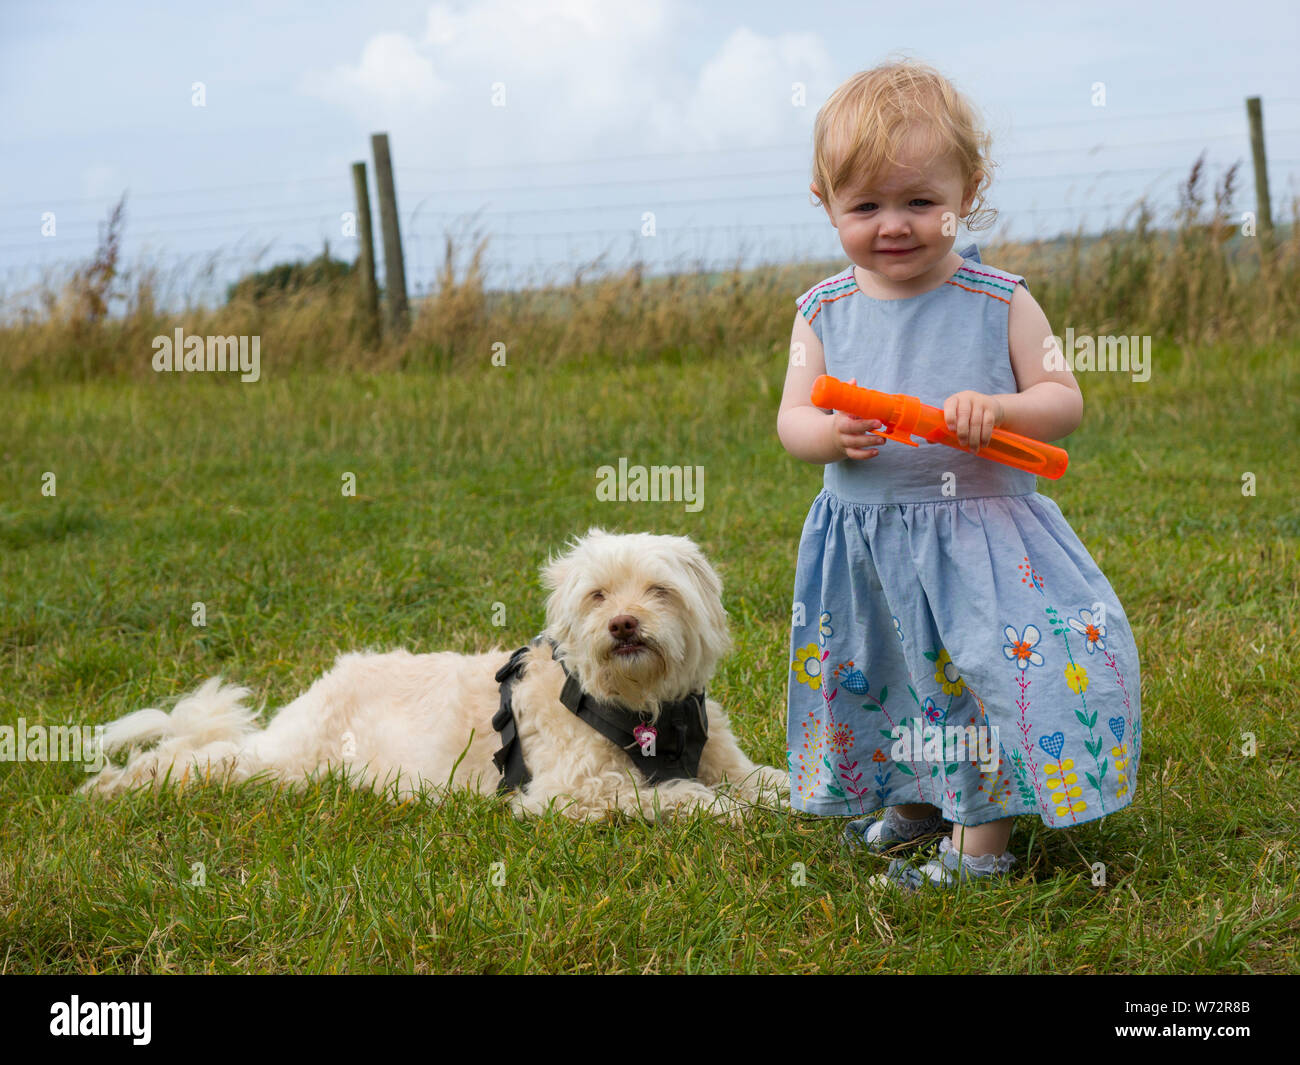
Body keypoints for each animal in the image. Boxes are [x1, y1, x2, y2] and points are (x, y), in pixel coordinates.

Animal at [86, 527, 790, 821]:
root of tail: (328, 681)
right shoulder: (578, 793)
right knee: (191, 760)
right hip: (285, 765)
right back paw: (115, 786)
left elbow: (771, 783)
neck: (644, 710)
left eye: (659, 591)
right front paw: (737, 815)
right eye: (597, 596)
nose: (622, 625)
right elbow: (686, 798)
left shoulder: (729, 762)